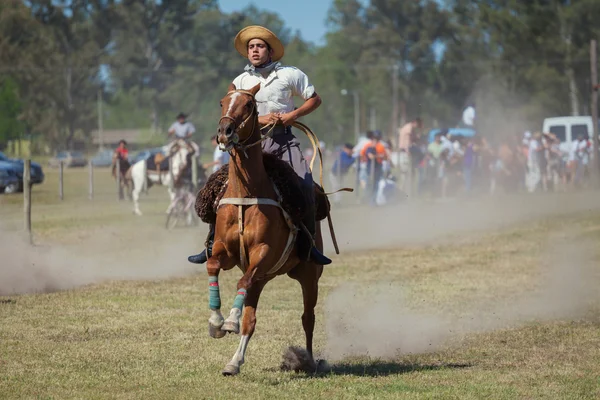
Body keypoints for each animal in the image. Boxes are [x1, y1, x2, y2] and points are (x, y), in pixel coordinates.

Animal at [206, 83, 324, 376]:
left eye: (249, 104)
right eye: (222, 102)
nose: (224, 131)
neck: (246, 194)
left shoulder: (264, 252)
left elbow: (242, 282)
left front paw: (229, 321)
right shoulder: (225, 251)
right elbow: (213, 266)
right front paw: (216, 321)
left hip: (309, 275)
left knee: (308, 318)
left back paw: (308, 360)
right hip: (263, 277)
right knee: (251, 319)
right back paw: (234, 361)